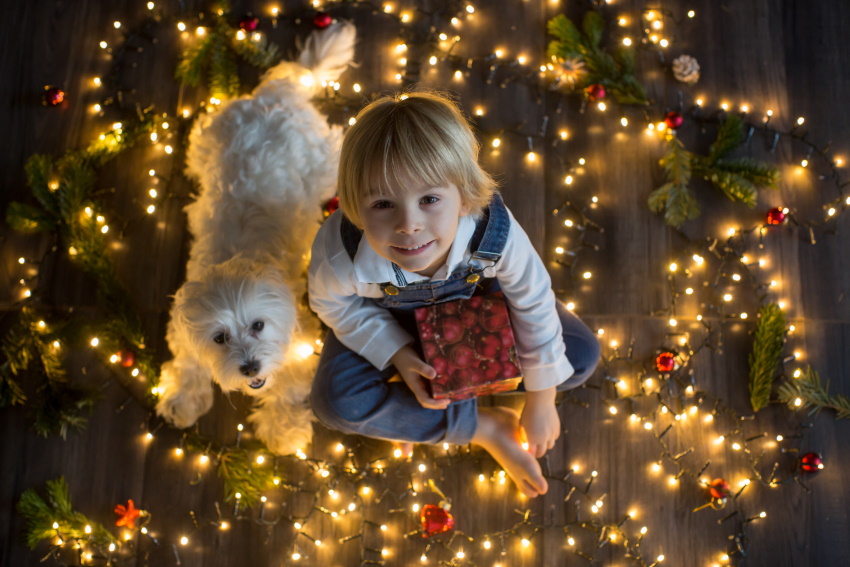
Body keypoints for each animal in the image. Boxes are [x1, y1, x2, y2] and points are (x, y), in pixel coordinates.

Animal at [155, 21, 354, 458]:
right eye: (219, 337)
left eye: (259, 325)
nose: (250, 368)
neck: (238, 259)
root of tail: (276, 93)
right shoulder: (185, 331)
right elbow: (188, 363)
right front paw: (181, 396)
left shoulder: (296, 342)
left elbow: (288, 387)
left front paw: (284, 430)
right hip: (205, 139)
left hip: (324, 163)